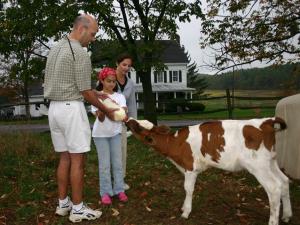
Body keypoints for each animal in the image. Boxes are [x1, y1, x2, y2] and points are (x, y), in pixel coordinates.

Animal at [125, 117, 292, 225]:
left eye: (139, 127)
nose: (129, 120)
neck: (175, 143)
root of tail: (266, 121)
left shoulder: (190, 167)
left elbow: (188, 189)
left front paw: (186, 212)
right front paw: (184, 208)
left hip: (258, 166)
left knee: (274, 188)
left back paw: (273, 221)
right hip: (271, 161)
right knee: (284, 181)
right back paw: (287, 215)